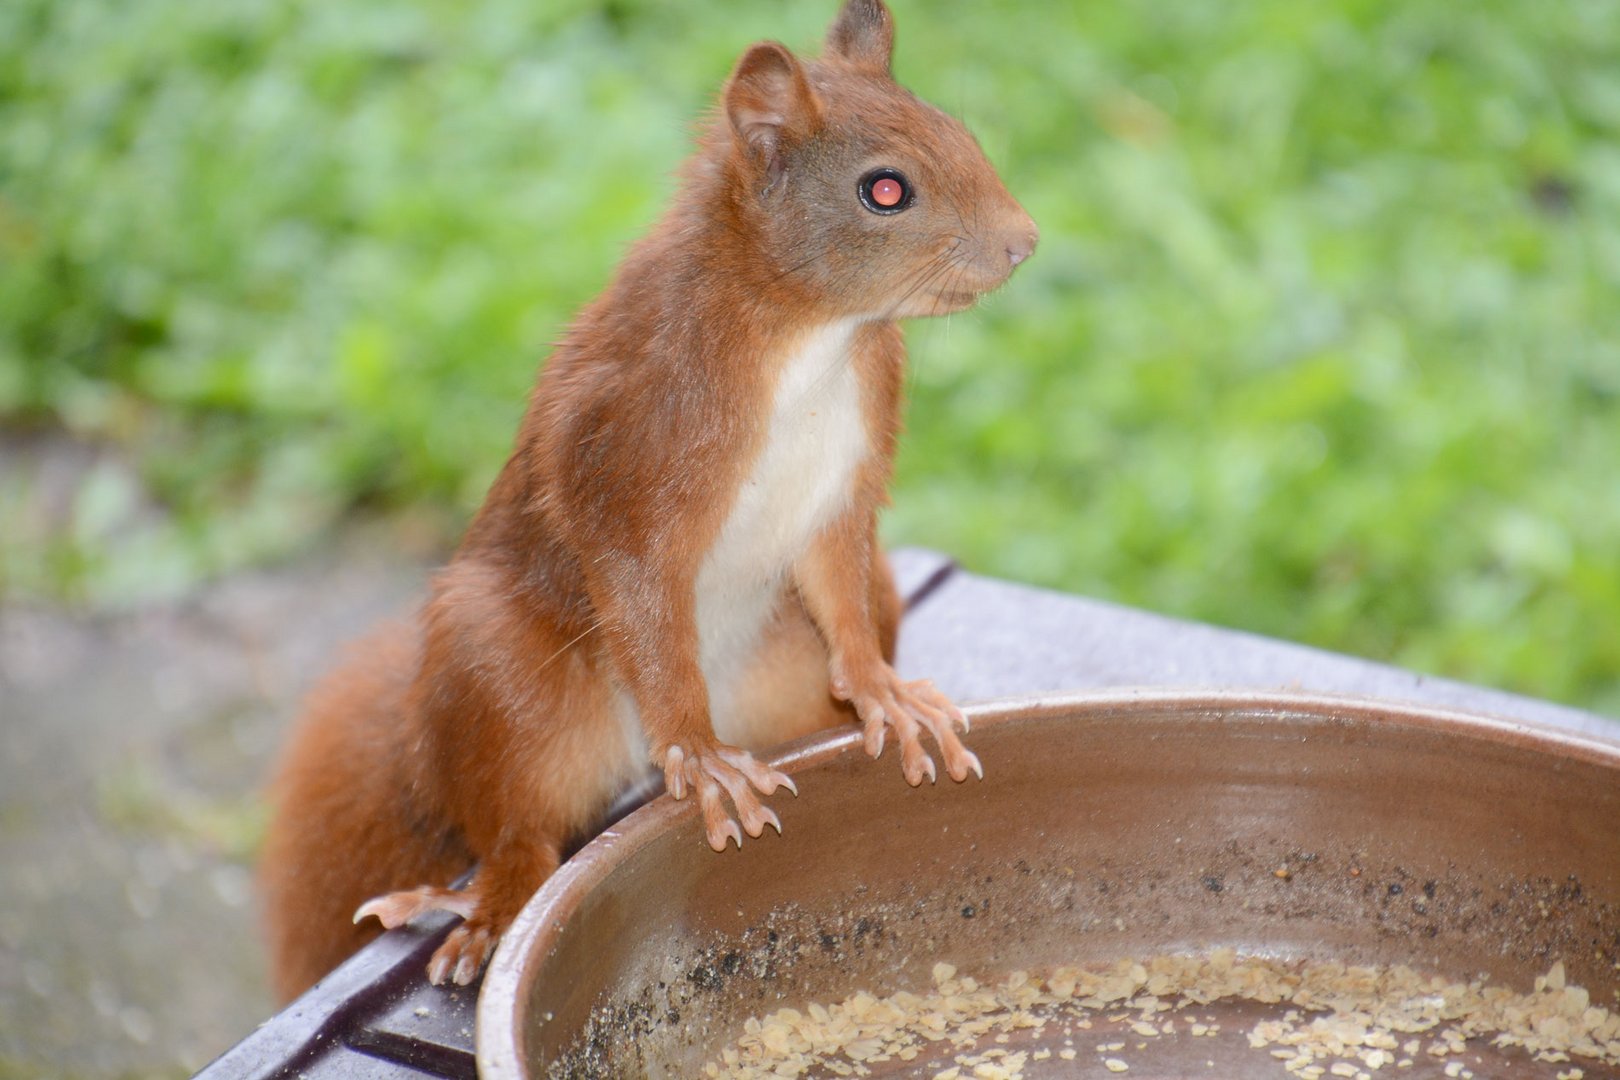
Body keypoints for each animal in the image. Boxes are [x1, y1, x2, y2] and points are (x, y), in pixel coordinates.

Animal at [257, 0, 1030, 1003]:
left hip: (801, 657)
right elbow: (641, 595)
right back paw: (488, 902)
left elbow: (839, 585)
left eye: (961, 133)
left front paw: (883, 695)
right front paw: (698, 758)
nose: (1023, 242)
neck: (812, 336)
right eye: (885, 191)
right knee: (515, 827)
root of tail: (629, 767)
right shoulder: (627, 449)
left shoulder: (843, 488)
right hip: (496, 665)